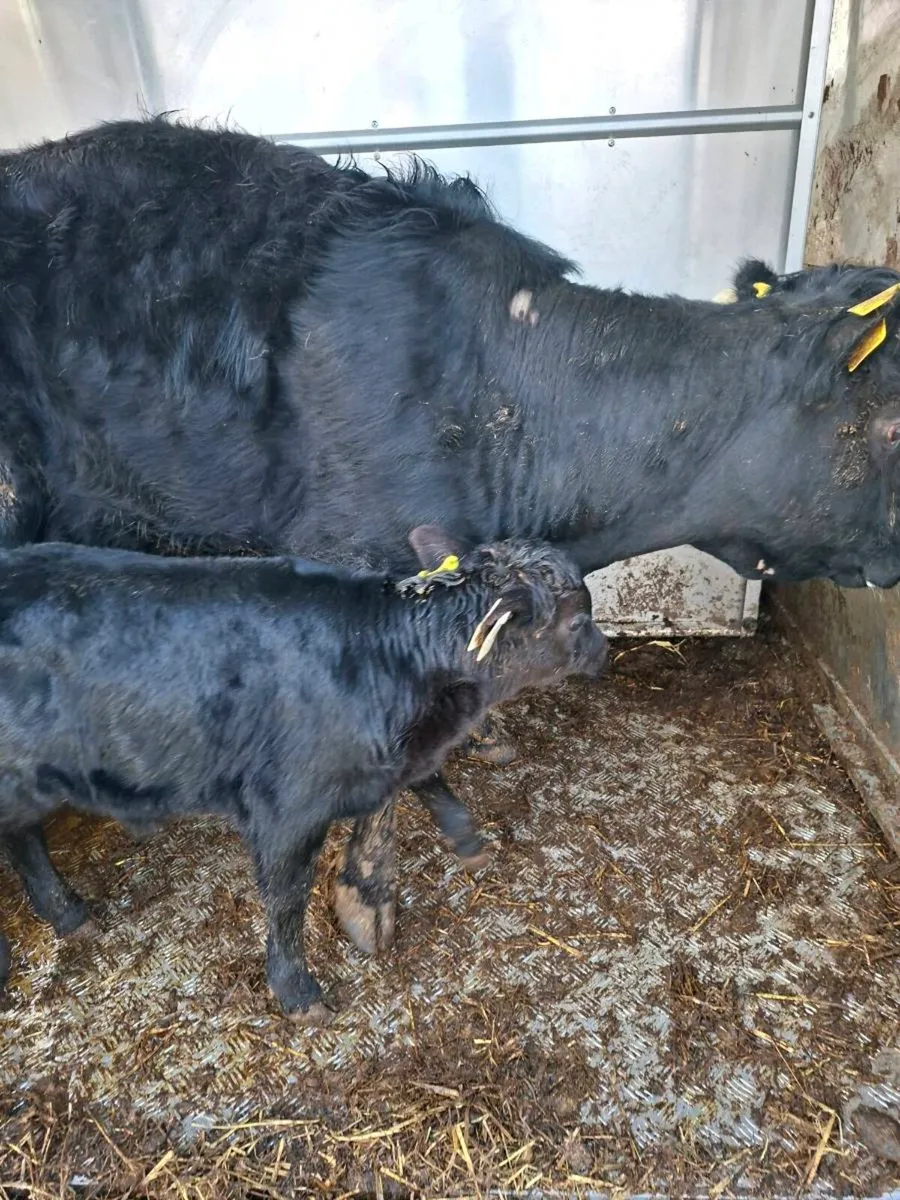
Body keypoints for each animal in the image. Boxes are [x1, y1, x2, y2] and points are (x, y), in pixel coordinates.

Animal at [0, 529, 607, 1013]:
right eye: (579, 619)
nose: (604, 649)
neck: (389, 656)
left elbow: (429, 780)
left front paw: (466, 839)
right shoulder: (286, 809)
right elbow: (288, 900)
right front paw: (296, 991)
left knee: (22, 836)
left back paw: (67, 915)